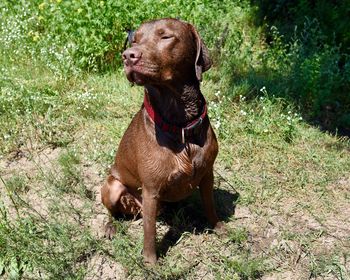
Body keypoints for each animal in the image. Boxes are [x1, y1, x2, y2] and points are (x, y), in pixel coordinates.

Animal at [101, 18, 223, 264]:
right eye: (134, 40)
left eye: (166, 36)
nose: (127, 56)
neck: (180, 124)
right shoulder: (151, 190)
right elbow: (149, 231)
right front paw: (150, 262)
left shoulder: (207, 174)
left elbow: (210, 205)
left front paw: (218, 227)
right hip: (112, 186)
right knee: (113, 212)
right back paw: (110, 226)